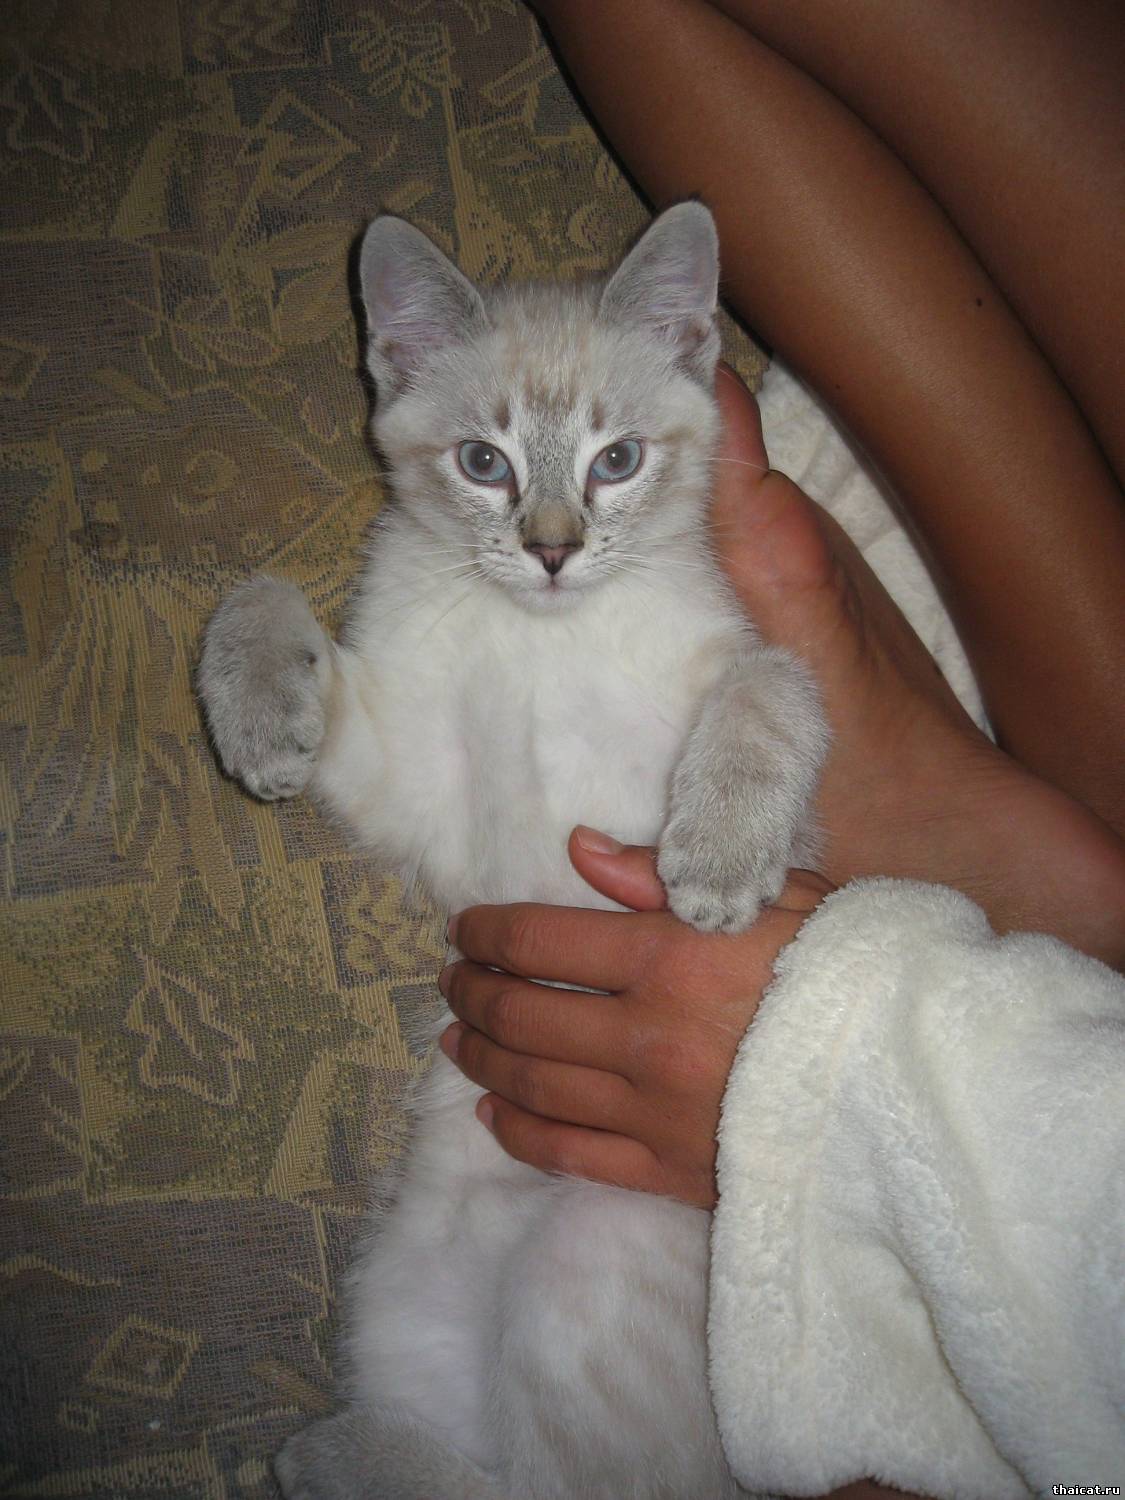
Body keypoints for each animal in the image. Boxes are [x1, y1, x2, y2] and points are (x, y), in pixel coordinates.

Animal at [198, 201, 828, 1500]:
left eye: (617, 460)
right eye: (483, 463)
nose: (549, 549)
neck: (542, 632)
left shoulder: (721, 667)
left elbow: (774, 687)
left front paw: (716, 866)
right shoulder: (409, 769)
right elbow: (260, 592)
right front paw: (259, 721)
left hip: (588, 1265)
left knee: (569, 1484)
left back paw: (319, 1451)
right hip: (398, 1297)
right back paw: (333, 1450)